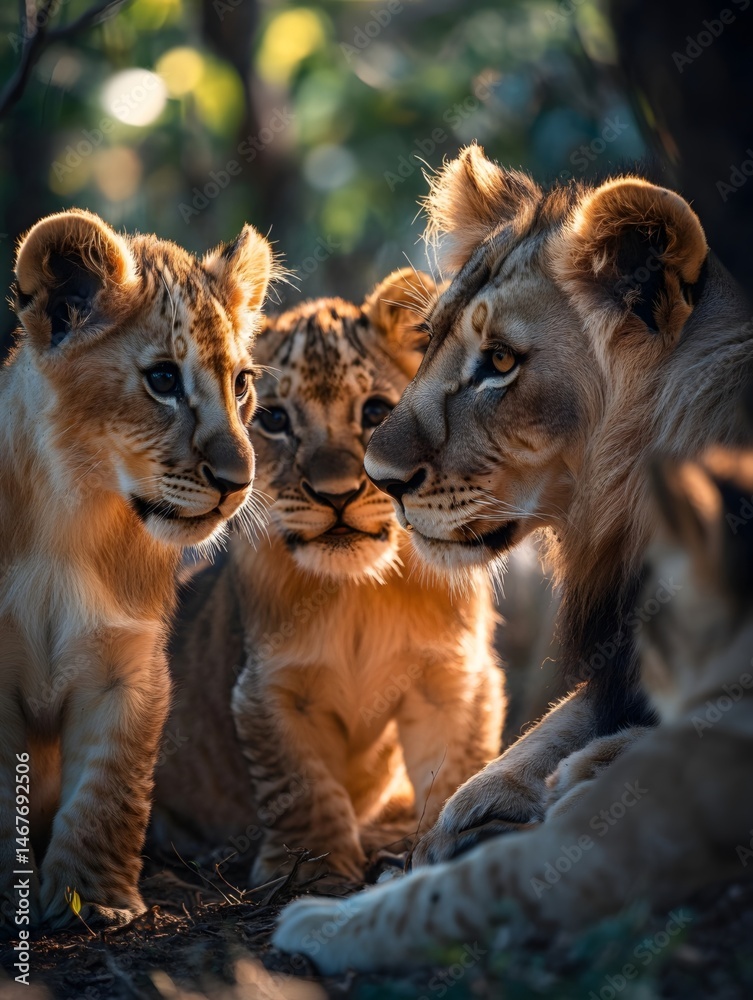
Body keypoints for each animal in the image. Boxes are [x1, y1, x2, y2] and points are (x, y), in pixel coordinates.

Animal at [0, 209, 273, 934]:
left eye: (241, 383)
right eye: (164, 381)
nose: (239, 482)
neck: (72, 515)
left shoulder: (127, 665)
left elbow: (108, 792)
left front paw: (92, 901)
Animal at [150, 270, 504, 886]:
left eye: (375, 411)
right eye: (274, 419)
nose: (335, 494)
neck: (357, 593)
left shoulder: (451, 679)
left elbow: (456, 770)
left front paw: (447, 842)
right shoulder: (271, 689)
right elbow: (303, 785)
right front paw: (310, 870)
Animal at [273, 448, 753, 973]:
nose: (635, 662)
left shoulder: (590, 857)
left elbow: (440, 896)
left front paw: (317, 920)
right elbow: (546, 733)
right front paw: (466, 813)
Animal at [355, 145, 753, 866]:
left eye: (500, 361)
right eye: (429, 337)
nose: (379, 477)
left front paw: (588, 770)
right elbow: (547, 728)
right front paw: (470, 809)